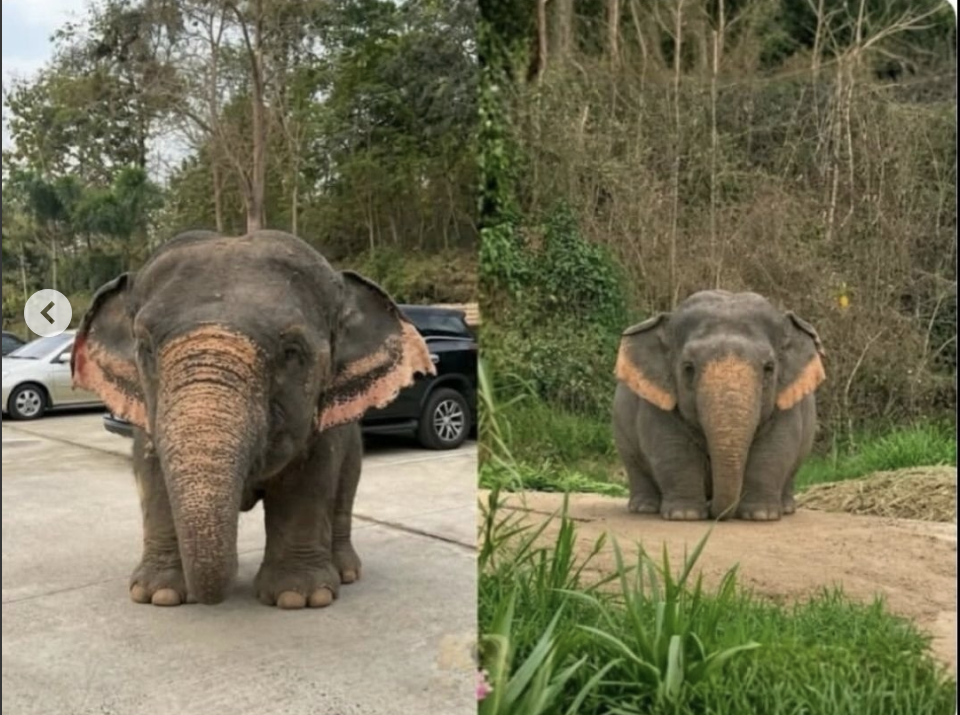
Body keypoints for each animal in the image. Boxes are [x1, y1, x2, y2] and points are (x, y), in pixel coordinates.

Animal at [71, 229, 435, 607]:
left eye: (292, 352)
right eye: (144, 347)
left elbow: (308, 477)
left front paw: (298, 597)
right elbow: (151, 474)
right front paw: (159, 594)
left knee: (345, 489)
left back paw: (345, 572)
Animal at [612, 290, 826, 522]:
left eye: (769, 368)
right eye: (688, 367)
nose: (714, 511)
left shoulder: (785, 398)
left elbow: (775, 446)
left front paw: (760, 515)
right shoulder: (658, 398)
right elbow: (672, 446)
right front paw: (684, 515)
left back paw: (786, 508)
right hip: (622, 434)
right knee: (634, 464)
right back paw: (644, 508)